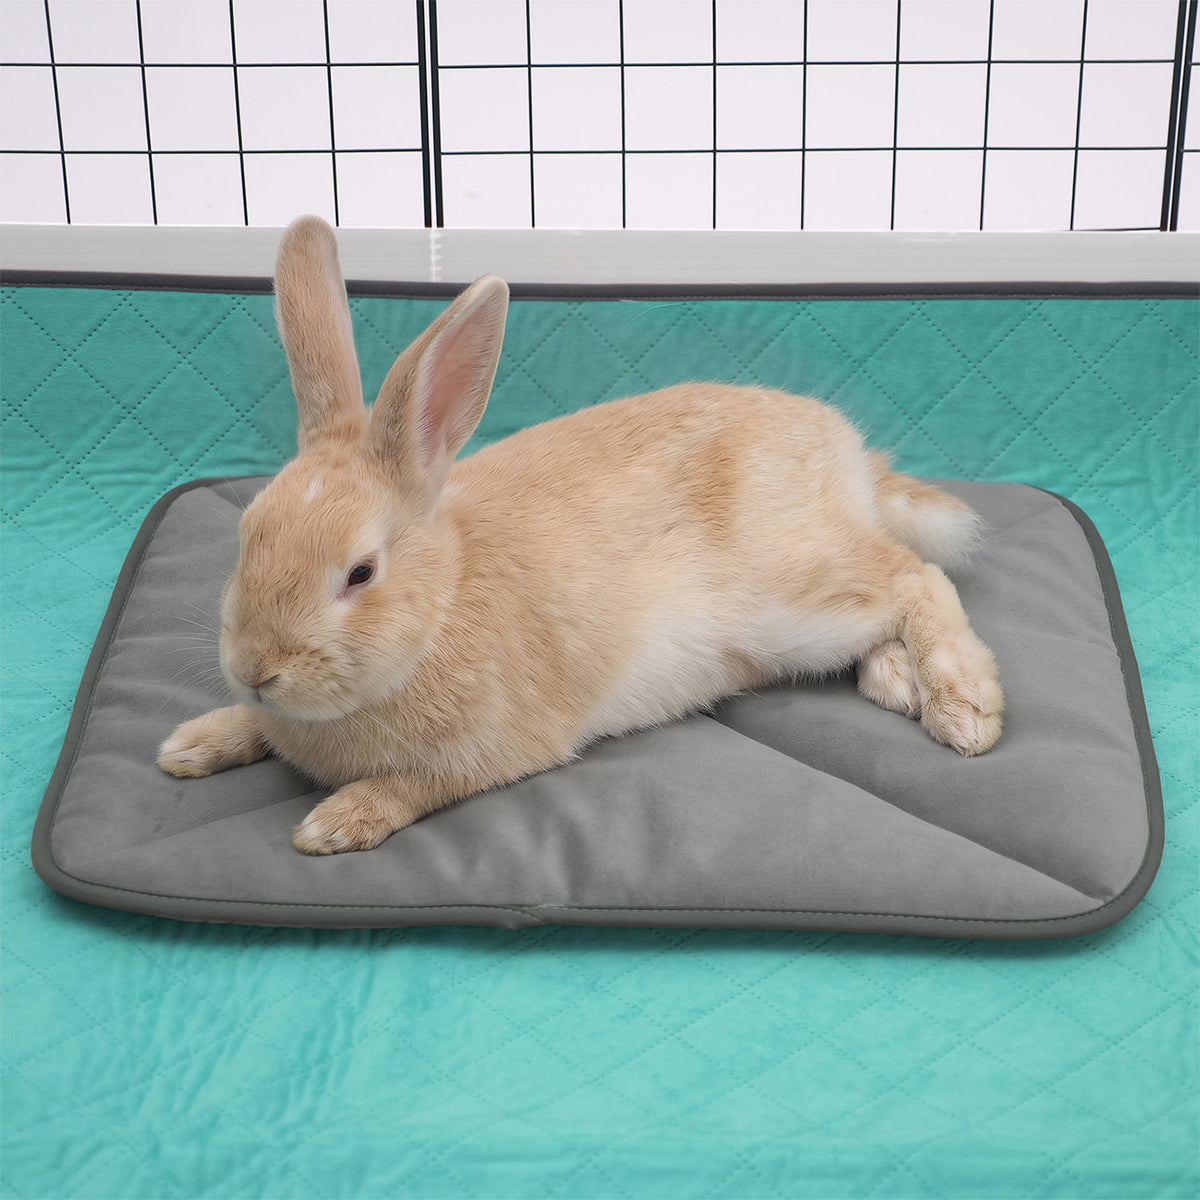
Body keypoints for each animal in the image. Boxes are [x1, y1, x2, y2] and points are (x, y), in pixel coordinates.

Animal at [158, 214, 1002, 855]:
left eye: (360, 573)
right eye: (247, 536)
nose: (256, 671)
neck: (443, 604)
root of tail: (847, 454)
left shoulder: (498, 750)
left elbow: (416, 786)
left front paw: (335, 823)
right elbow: (254, 734)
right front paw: (193, 744)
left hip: (790, 596)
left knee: (914, 577)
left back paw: (961, 708)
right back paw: (896, 683)